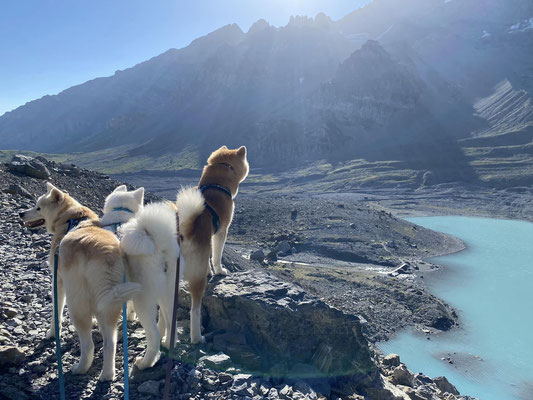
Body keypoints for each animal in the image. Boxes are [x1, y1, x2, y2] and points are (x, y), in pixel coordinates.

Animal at [19, 183, 139, 380]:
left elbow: (56, 312)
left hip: (77, 302)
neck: (73, 219)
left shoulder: (58, 281)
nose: (21, 214)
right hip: (109, 302)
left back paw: (80, 368)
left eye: (38, 207)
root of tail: (103, 252)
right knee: (110, 342)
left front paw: (52, 333)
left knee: (88, 344)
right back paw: (107, 375)